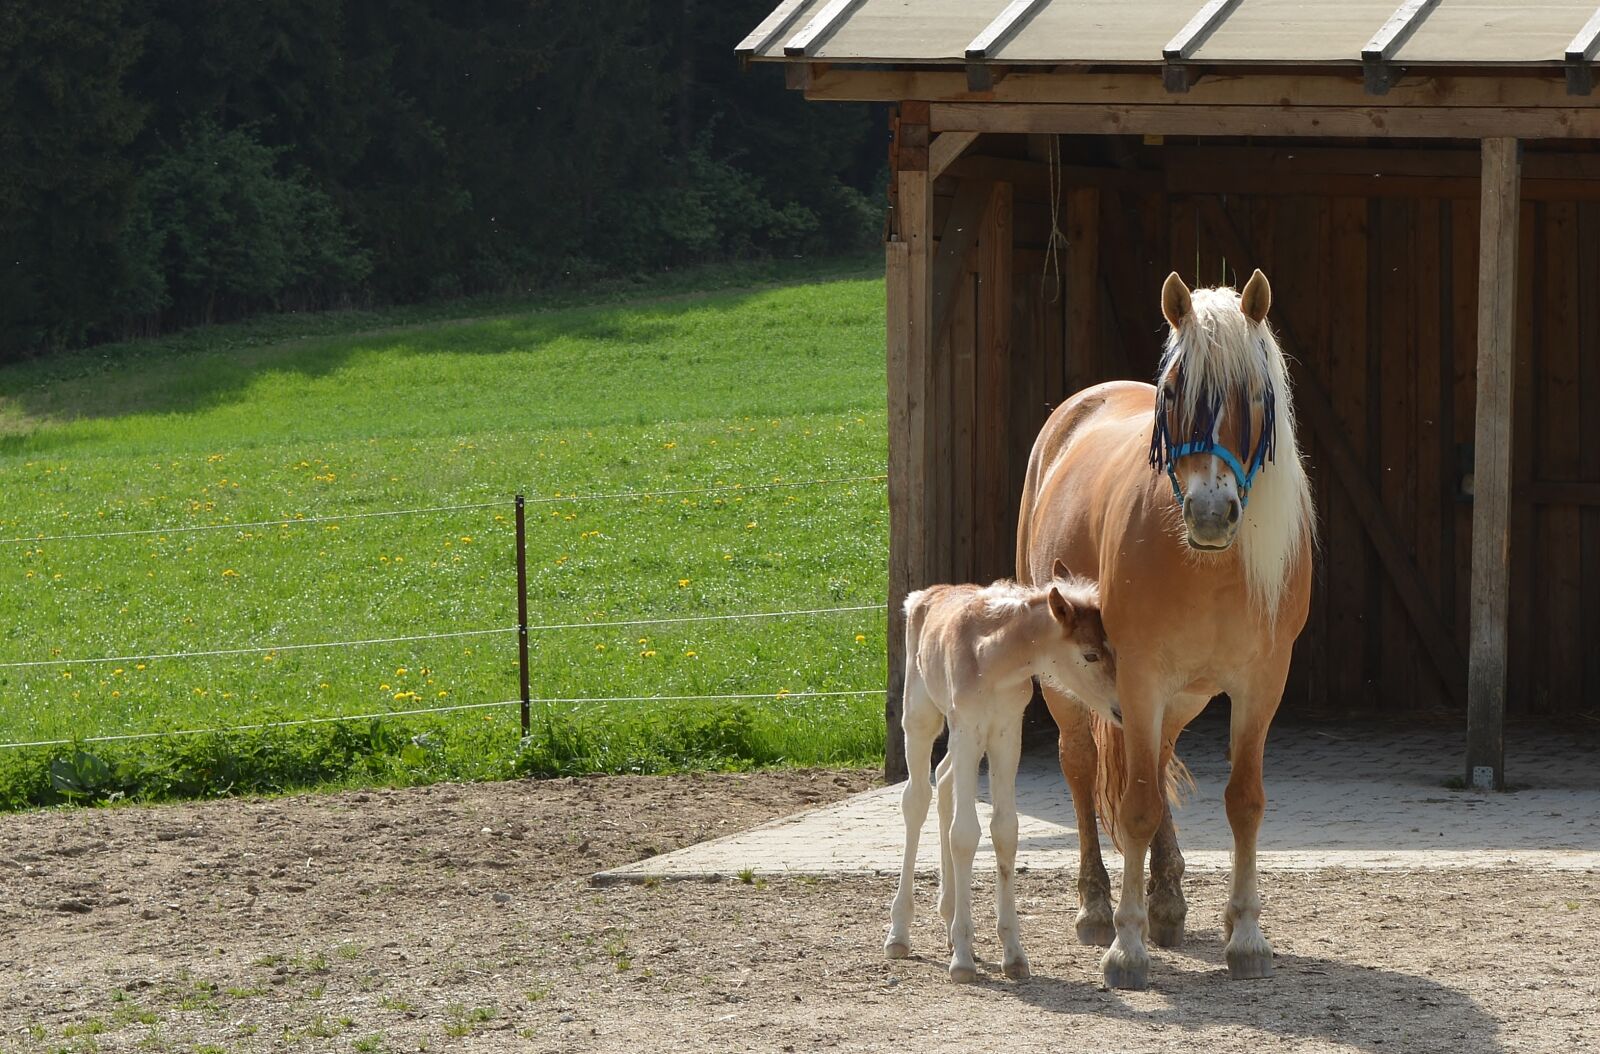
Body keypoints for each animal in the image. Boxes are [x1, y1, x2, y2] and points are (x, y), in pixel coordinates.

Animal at [884, 569, 1119, 983]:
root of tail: (924, 595)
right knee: (917, 800)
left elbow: (1004, 831)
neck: (993, 662)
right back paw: (900, 932)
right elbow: (964, 834)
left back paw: (948, 917)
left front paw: (1012, 954)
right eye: (1090, 654)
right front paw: (963, 958)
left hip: (966, 741)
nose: (1120, 709)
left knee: (944, 780)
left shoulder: (1007, 734)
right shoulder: (968, 728)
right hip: (922, 718)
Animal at [1015, 269, 1314, 990]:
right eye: (1175, 391)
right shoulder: (1140, 676)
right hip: (1071, 688)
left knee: (1156, 761)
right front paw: (1127, 949)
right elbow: (1136, 806)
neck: (1205, 565)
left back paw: (1168, 899)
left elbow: (1243, 800)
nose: (1210, 512)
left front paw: (1247, 937)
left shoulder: (1261, 684)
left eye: (1256, 395)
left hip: (1184, 697)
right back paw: (1098, 907)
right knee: (1083, 766)